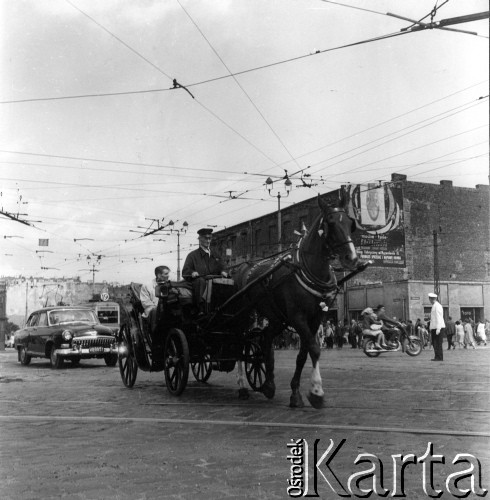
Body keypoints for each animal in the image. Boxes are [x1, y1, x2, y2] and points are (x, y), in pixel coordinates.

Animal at [230, 193, 360, 408]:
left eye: (351, 223)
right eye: (331, 222)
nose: (352, 258)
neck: (307, 269)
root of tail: (243, 268)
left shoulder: (315, 319)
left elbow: (303, 354)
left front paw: (296, 393)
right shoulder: (297, 317)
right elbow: (315, 349)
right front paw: (316, 392)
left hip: (275, 318)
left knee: (265, 339)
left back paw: (269, 384)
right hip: (245, 315)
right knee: (239, 344)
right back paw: (241, 386)